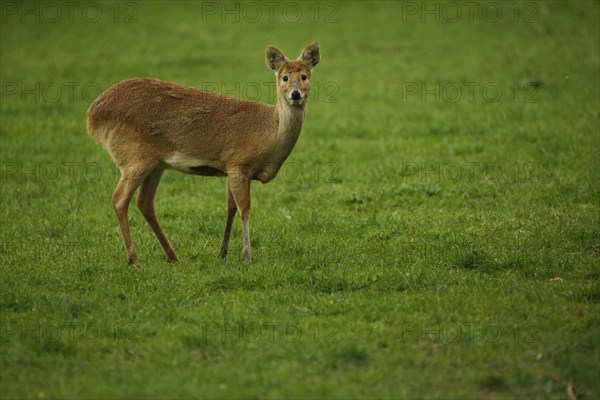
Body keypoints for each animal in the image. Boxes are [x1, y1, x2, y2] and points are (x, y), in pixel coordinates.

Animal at [87, 42, 322, 264]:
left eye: (304, 76)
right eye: (284, 77)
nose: (295, 94)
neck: (269, 133)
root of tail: (92, 115)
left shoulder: (229, 166)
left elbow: (230, 207)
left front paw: (223, 252)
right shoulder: (239, 163)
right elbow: (244, 208)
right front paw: (246, 256)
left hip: (155, 163)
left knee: (144, 203)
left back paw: (172, 256)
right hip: (134, 157)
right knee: (119, 198)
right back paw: (134, 259)